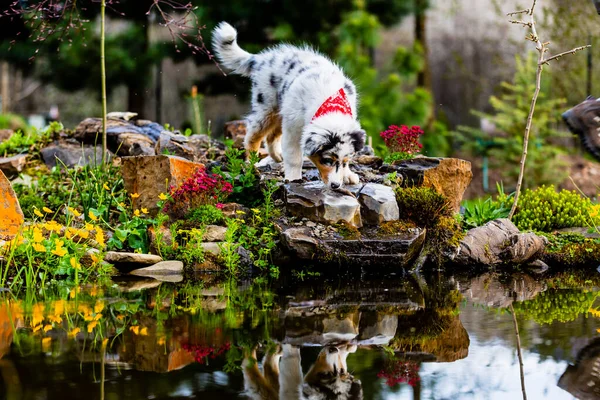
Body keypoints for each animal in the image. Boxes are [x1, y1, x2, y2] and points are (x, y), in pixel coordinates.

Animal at [213, 22, 368, 189]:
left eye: (344, 161)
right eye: (326, 160)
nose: (335, 186)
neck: (331, 104)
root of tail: (262, 58)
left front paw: (348, 175)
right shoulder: (293, 128)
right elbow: (294, 157)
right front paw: (293, 179)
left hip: (282, 112)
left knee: (271, 136)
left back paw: (277, 156)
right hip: (266, 109)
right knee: (252, 136)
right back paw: (251, 164)